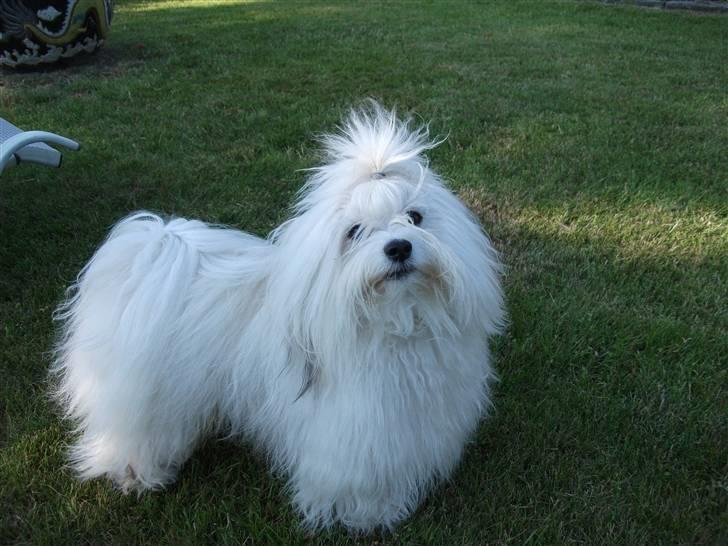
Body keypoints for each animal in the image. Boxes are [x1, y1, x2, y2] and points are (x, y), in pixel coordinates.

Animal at [52, 103, 506, 532]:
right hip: (139, 393)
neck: (396, 323)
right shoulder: (351, 434)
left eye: (414, 217)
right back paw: (137, 474)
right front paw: (367, 515)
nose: (399, 247)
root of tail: (154, 247)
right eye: (354, 232)